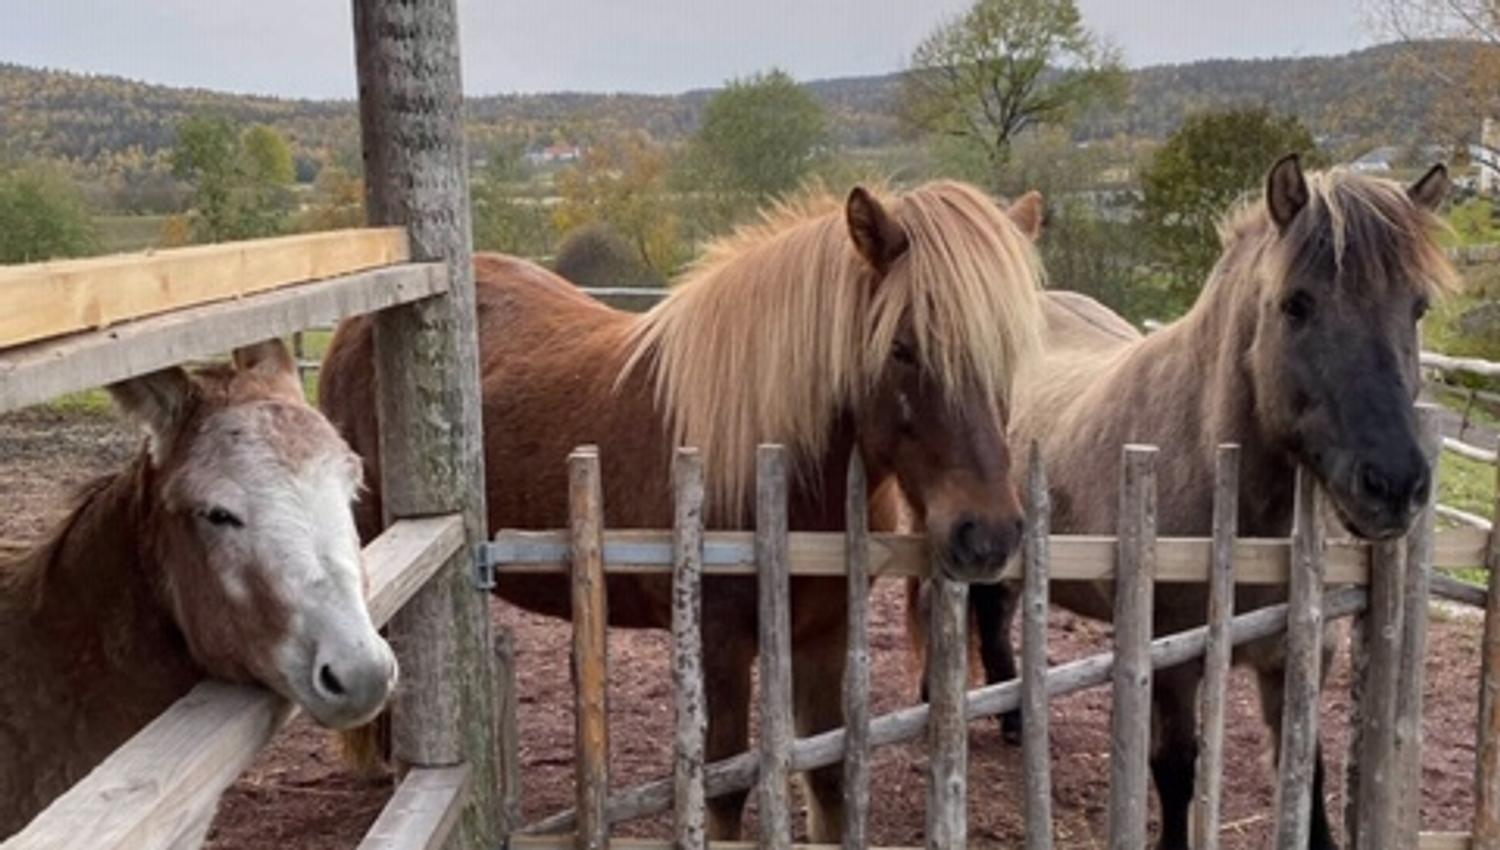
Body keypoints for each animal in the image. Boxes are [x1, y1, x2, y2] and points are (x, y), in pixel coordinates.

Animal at [320, 180, 1048, 840]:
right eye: (901, 348)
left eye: (1011, 349)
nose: (988, 534)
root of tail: (357, 324)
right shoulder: (718, 645)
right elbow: (724, 787)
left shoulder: (824, 635)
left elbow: (829, 778)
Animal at [912, 156, 1455, 849]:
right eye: (1296, 304)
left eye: (1417, 307)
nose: (1394, 484)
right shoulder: (1172, 658)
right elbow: (1175, 768)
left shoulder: (1301, 654)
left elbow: (1306, 770)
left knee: (996, 616)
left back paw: (1014, 724)